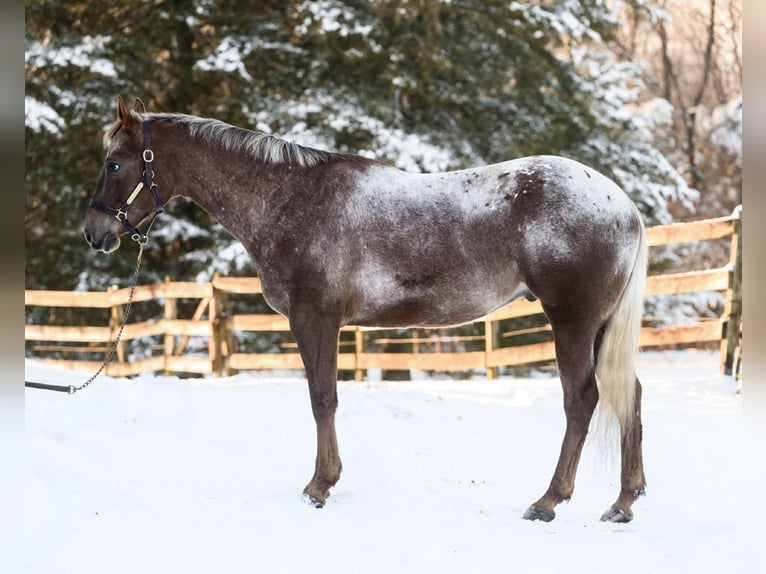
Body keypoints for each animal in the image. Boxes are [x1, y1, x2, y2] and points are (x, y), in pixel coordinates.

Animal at [83, 96, 648, 523]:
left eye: (113, 163)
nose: (95, 233)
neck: (290, 199)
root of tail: (623, 204)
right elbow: (325, 398)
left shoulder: (315, 318)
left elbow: (322, 399)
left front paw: (319, 486)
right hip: (598, 328)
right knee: (630, 395)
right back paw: (622, 503)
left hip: (571, 323)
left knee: (581, 401)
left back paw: (548, 501)